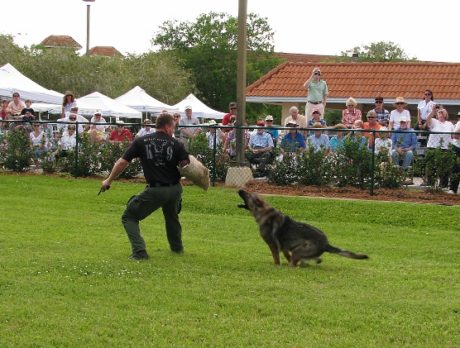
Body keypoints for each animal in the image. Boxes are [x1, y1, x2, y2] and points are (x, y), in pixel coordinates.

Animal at [239, 190, 368, 266]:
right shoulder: (284, 247)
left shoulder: (273, 245)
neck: (265, 212)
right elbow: (286, 254)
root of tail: (326, 244)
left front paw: (277, 266)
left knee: (294, 264)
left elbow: (277, 259)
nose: (240, 189)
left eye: (247, 194)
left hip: (298, 250)